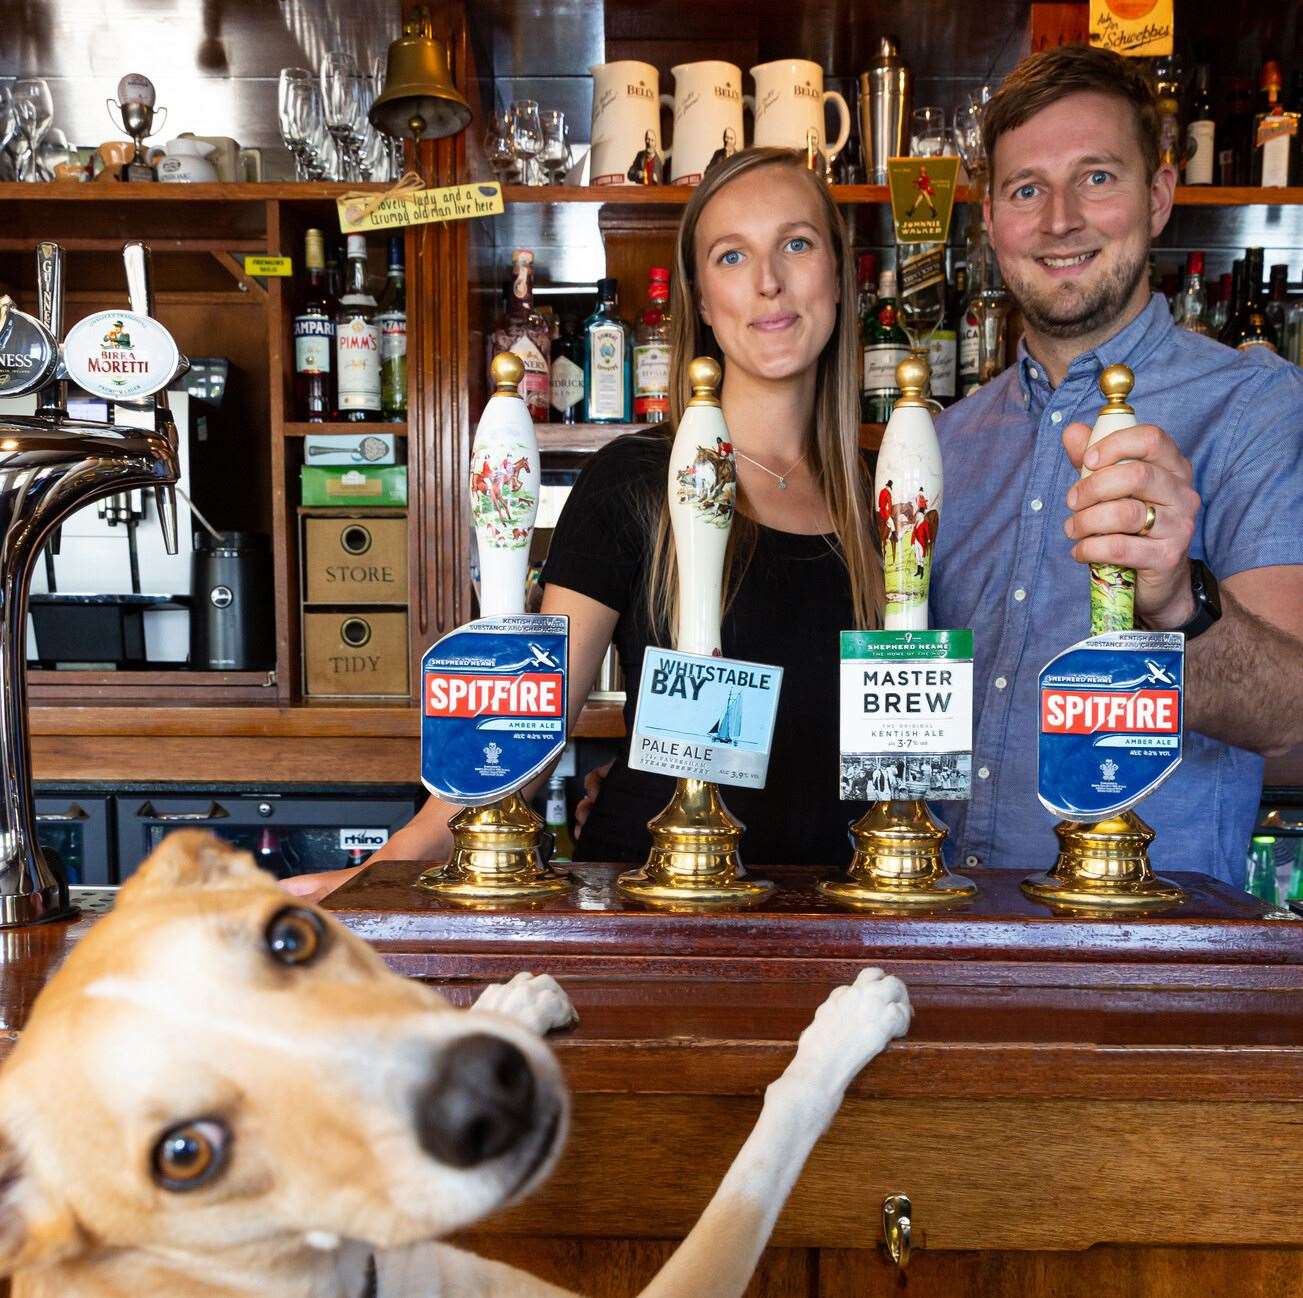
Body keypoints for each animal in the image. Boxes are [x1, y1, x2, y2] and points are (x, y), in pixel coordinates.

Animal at [0, 834, 912, 1298]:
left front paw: (514, 999)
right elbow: (759, 1160)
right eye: (184, 1156)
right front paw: (847, 1023)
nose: (488, 1091)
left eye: (293, 934)